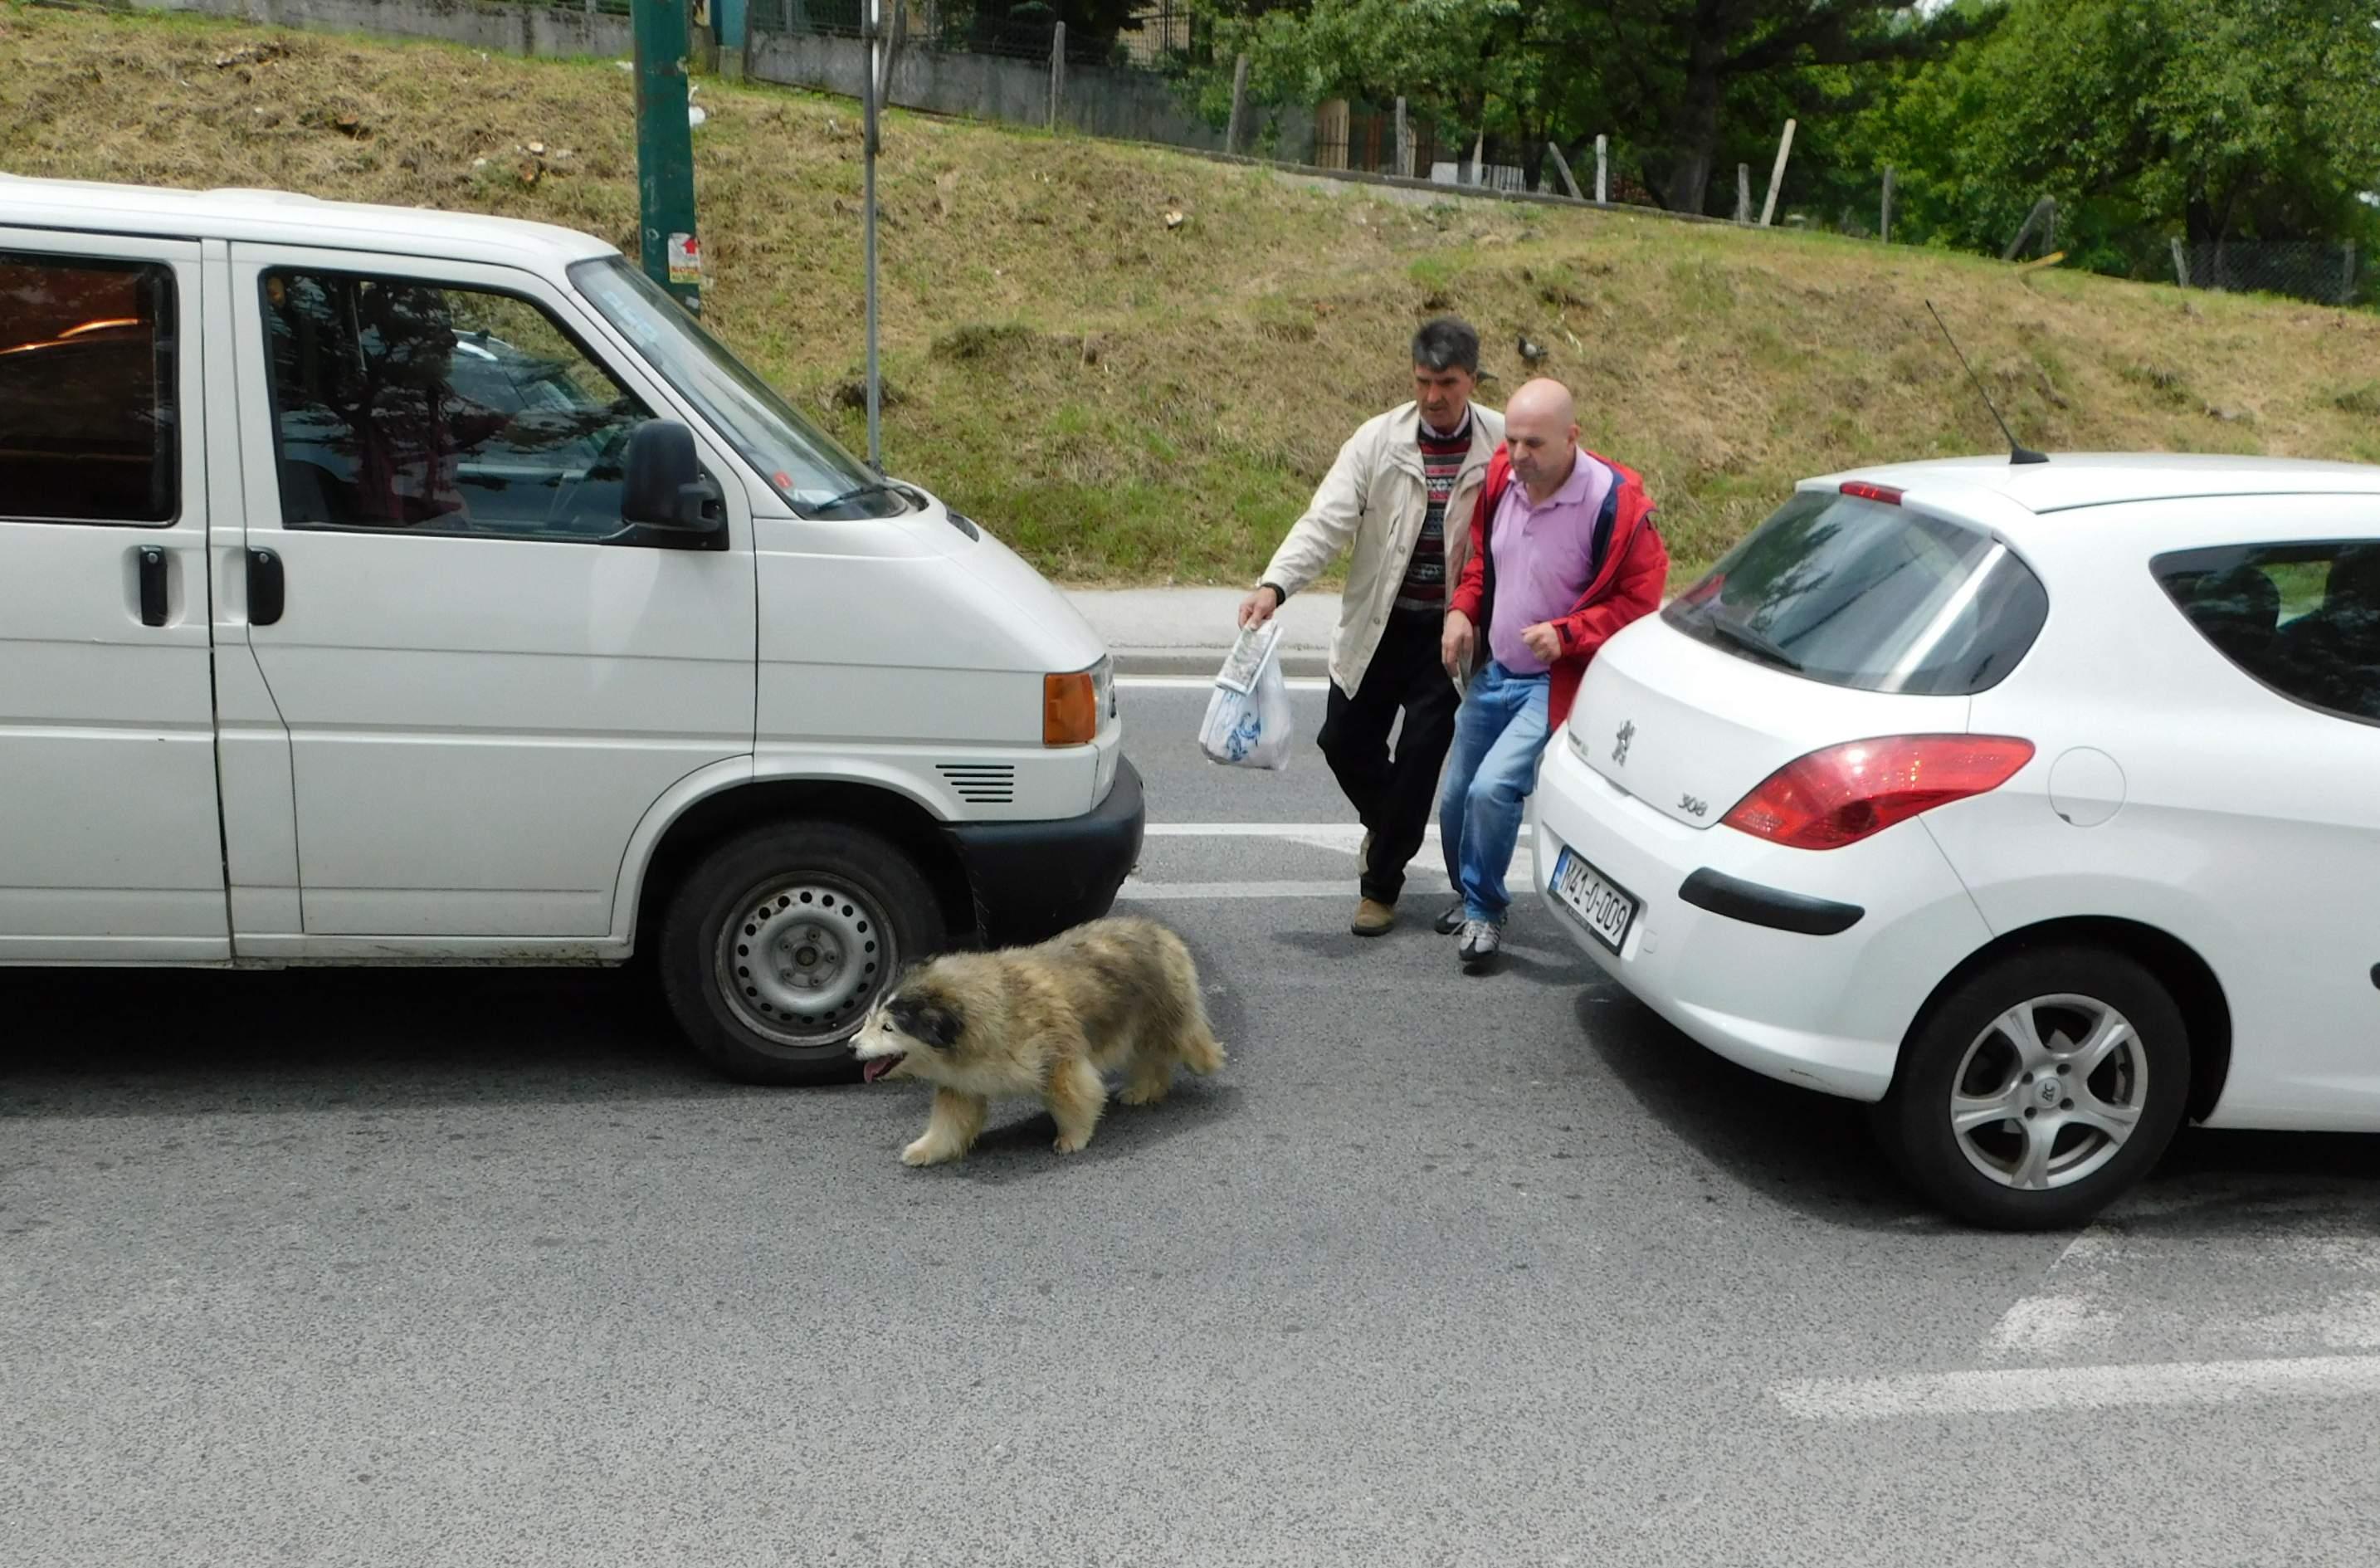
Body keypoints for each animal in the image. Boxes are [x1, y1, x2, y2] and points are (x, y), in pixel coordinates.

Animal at [851, 918, 1227, 1165]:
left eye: (888, 1028)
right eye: (870, 1019)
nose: (852, 1046)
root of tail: (1159, 930)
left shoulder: (1057, 1057)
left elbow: (1074, 1093)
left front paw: (1074, 1136)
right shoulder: (962, 1081)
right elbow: (952, 1118)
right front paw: (928, 1149)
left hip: (1162, 1013)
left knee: (1178, 1042)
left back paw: (1196, 1064)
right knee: (1151, 1056)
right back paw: (1146, 1088)